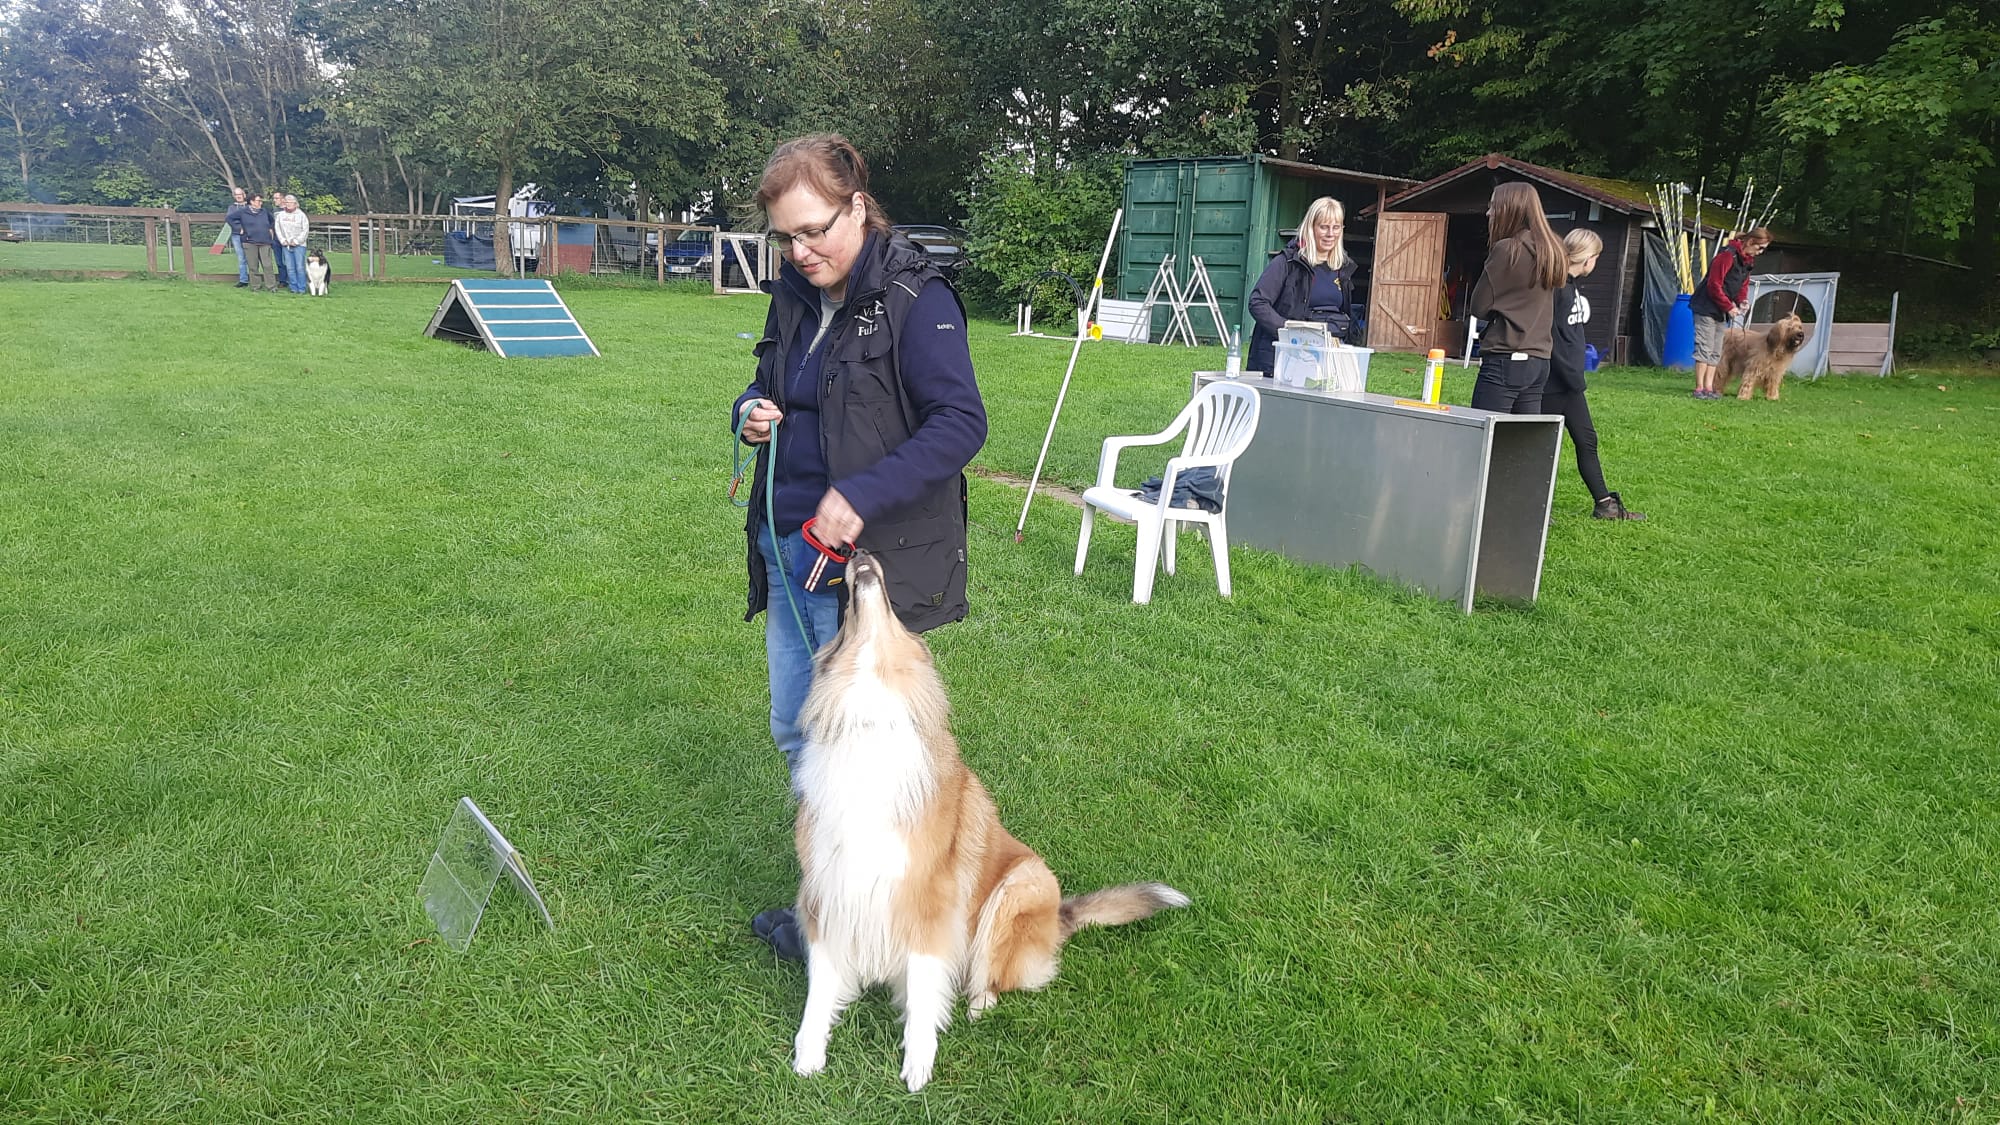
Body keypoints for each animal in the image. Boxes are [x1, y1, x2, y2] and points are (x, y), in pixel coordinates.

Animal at [789, 549, 1188, 1092]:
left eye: (886, 605)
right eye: (846, 607)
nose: (859, 551)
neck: (869, 709)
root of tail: (1060, 917)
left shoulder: (929, 902)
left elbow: (922, 994)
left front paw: (919, 1063)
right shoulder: (830, 888)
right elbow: (822, 987)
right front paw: (808, 1053)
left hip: (1019, 886)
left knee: (997, 974)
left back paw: (978, 1002)